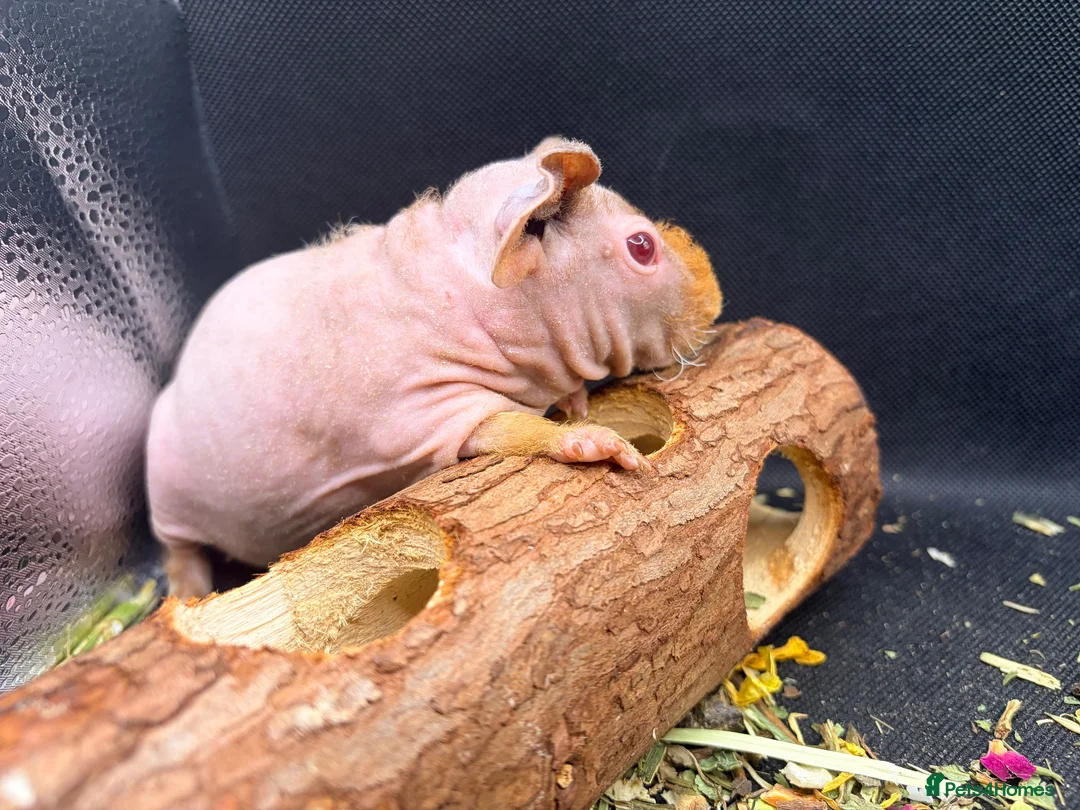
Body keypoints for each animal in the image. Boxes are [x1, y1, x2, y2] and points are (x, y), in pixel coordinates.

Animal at [146, 137, 722, 598]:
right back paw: (188, 592)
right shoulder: (433, 411)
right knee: (178, 550)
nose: (716, 300)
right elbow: (511, 427)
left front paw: (576, 400)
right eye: (642, 246)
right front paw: (595, 441)